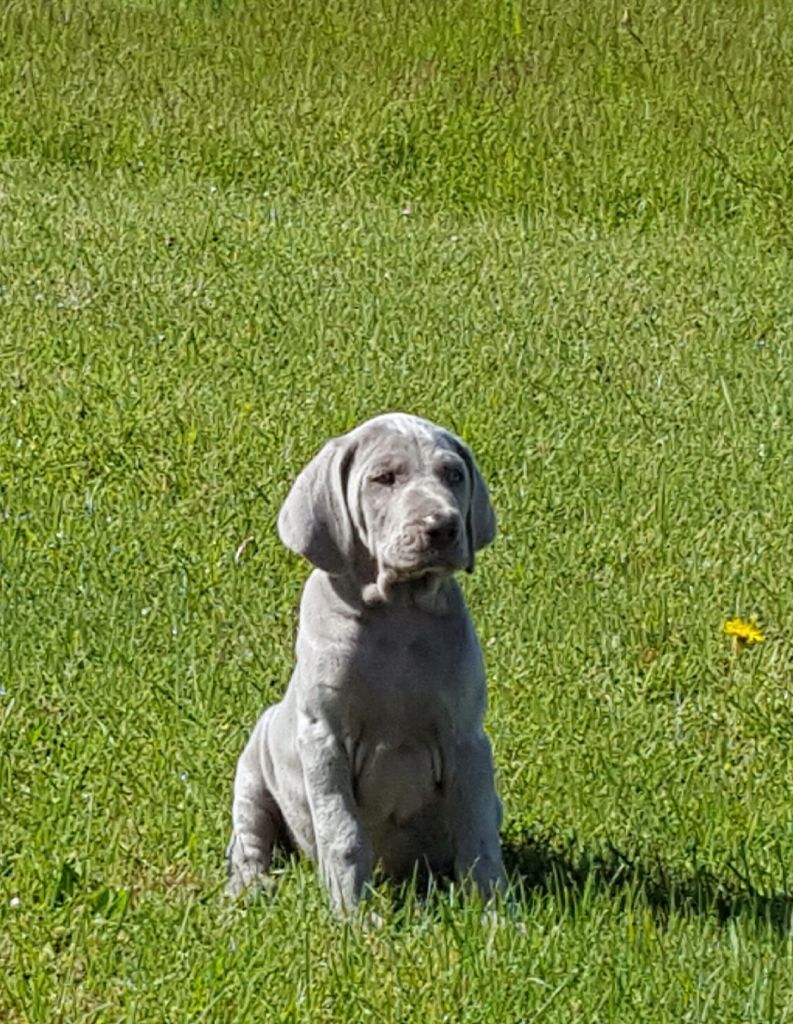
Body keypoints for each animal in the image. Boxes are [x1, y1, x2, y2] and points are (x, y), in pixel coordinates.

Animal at [227, 413, 505, 912]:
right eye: (384, 478)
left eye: (453, 475)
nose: (443, 526)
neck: (398, 613)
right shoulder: (324, 740)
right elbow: (343, 833)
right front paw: (351, 916)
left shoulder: (469, 742)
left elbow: (479, 838)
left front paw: (493, 913)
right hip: (254, 766)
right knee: (249, 835)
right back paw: (248, 885)